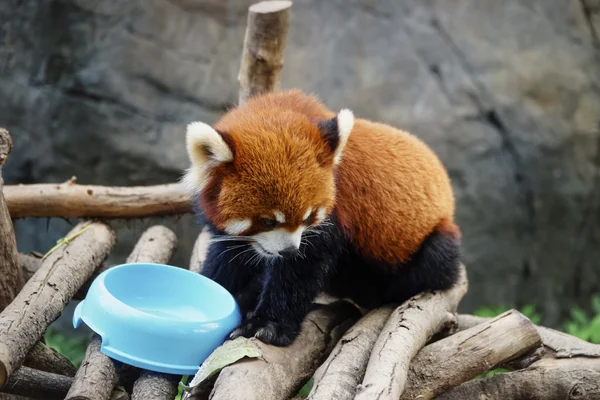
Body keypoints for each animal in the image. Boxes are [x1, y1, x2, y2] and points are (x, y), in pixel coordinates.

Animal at [182, 89, 460, 346]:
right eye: (268, 221)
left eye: (309, 216)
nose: (289, 251)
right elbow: (228, 259)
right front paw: (213, 286)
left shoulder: (335, 214)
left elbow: (301, 270)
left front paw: (267, 326)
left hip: (429, 242)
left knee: (430, 264)